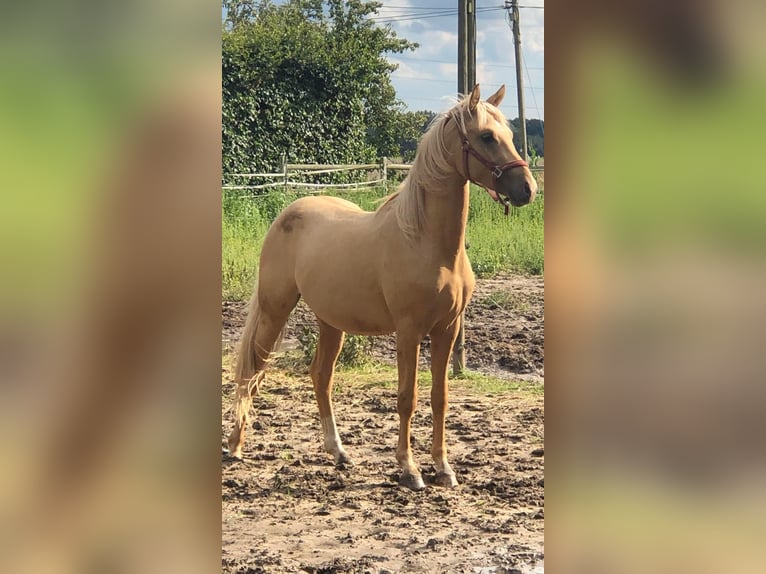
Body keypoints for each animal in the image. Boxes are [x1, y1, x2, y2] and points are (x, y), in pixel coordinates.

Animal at [228, 84, 540, 490]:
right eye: (486, 136)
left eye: (511, 135)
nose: (528, 190)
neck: (426, 242)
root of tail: (287, 213)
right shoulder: (408, 331)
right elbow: (407, 397)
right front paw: (409, 470)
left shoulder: (447, 329)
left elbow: (440, 397)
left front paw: (443, 468)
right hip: (274, 310)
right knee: (252, 370)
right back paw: (235, 445)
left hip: (331, 322)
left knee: (320, 377)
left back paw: (339, 453)